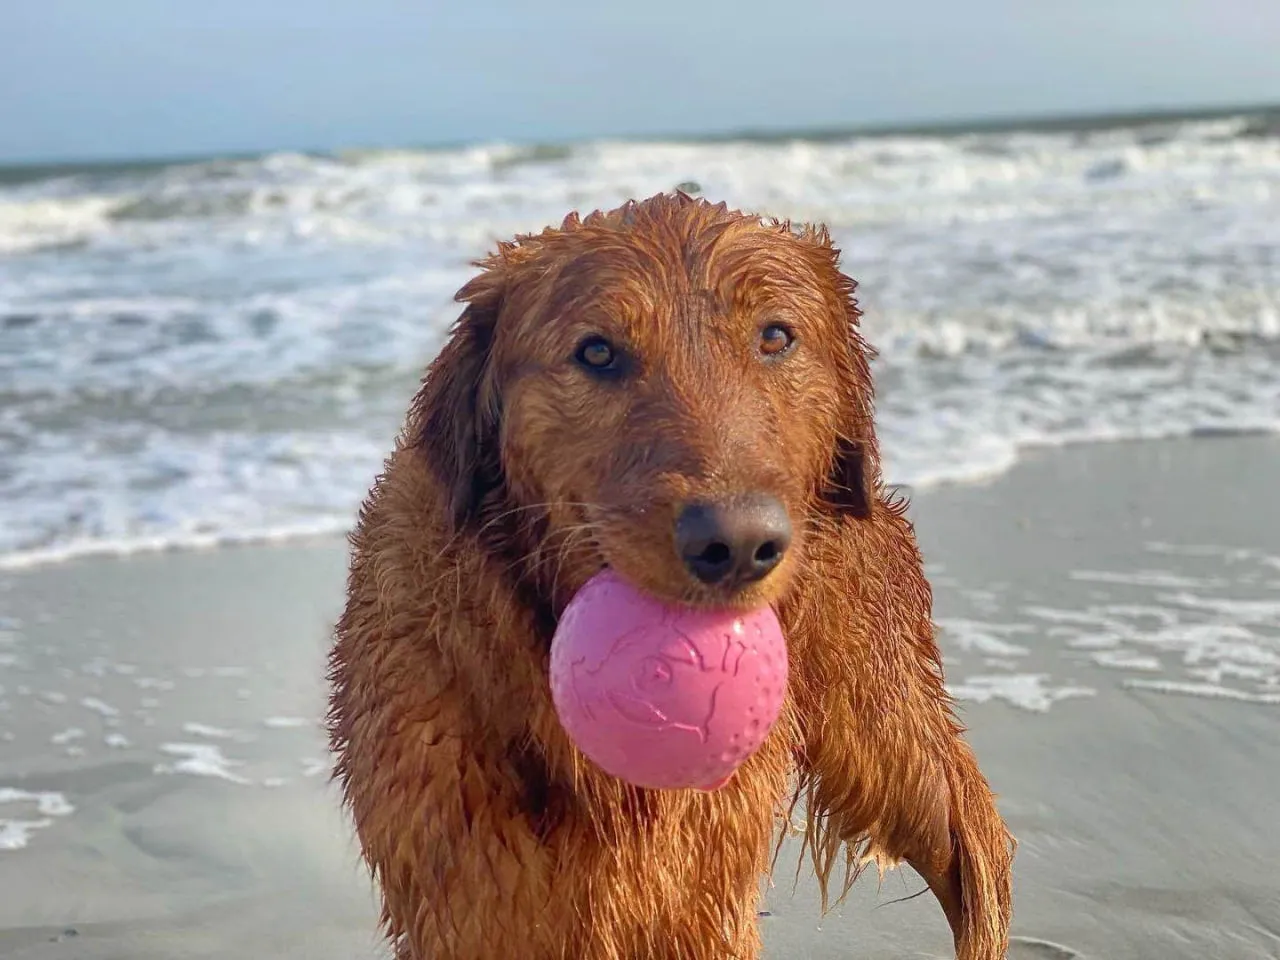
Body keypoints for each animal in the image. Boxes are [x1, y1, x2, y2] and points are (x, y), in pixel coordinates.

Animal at [330, 192, 1018, 957]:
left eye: (775, 337)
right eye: (597, 351)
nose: (739, 544)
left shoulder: (698, 897)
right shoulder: (471, 896)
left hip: (891, 744)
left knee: (979, 853)